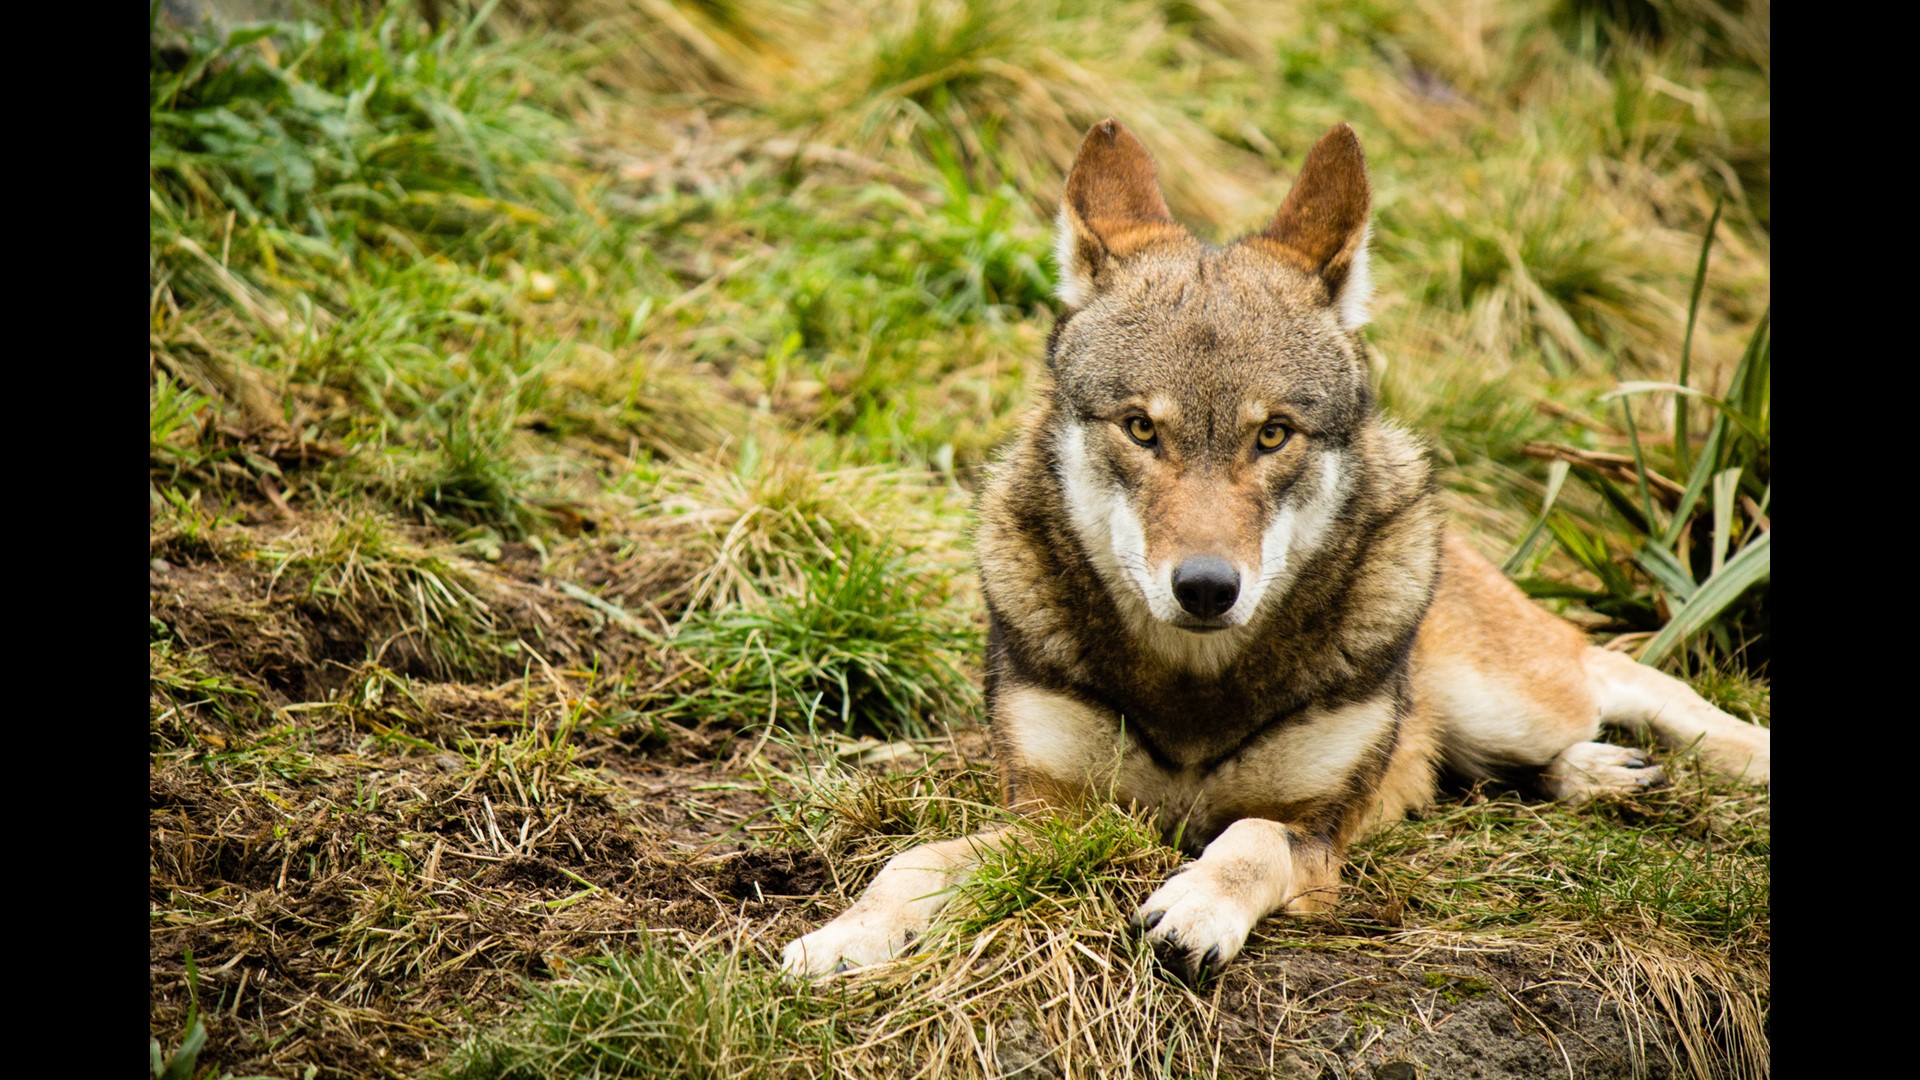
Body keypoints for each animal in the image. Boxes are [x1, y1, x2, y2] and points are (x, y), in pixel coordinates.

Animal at [782, 119, 1771, 983]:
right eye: (1141, 428)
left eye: (1272, 434)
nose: (1206, 588)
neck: (1195, 687)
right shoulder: (1047, 814)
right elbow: (916, 861)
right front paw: (844, 936)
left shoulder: (1318, 834)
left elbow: (1247, 838)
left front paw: (1196, 909)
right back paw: (1598, 775)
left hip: (1510, 697)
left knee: (1618, 669)